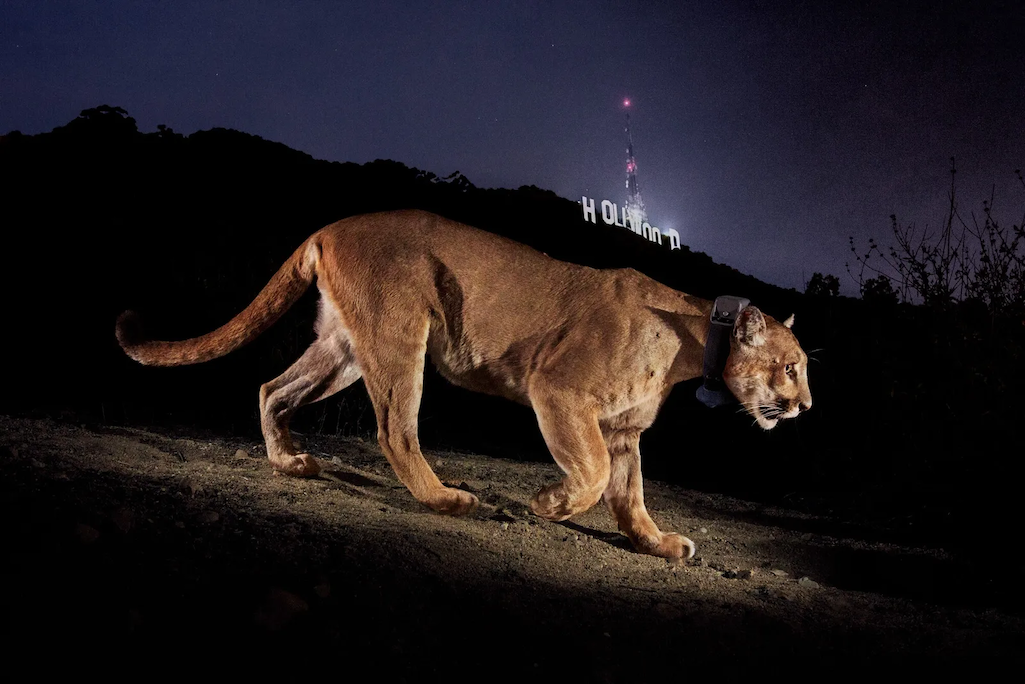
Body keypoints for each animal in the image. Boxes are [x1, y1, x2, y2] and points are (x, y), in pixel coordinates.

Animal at [117, 210, 811, 559]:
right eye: (791, 366)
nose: (805, 405)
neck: (694, 341)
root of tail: (332, 226)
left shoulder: (623, 430)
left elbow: (629, 495)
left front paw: (659, 543)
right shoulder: (559, 392)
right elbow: (590, 477)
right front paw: (548, 504)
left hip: (343, 348)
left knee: (272, 389)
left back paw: (290, 462)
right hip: (401, 335)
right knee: (395, 429)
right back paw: (449, 499)